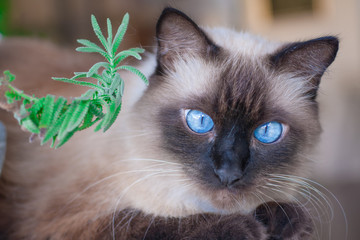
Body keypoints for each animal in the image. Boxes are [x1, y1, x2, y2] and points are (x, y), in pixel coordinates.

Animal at [0, 7, 338, 240]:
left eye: (267, 132)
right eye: (199, 121)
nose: (228, 172)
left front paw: (284, 220)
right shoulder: (63, 222)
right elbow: (148, 223)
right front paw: (246, 228)